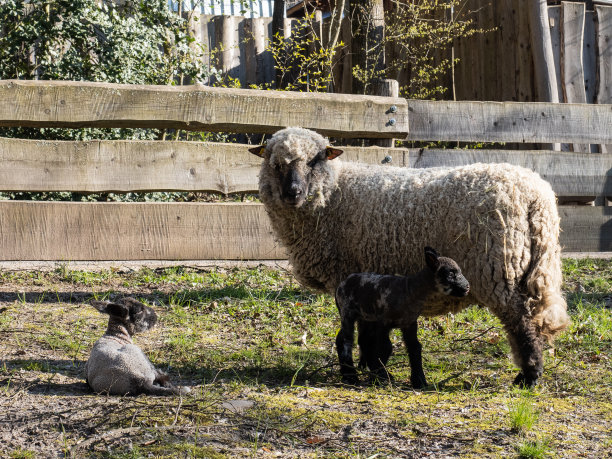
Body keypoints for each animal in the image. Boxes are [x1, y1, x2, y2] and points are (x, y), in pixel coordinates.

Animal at [334, 248, 468, 388]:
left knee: (357, 339)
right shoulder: (383, 322)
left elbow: (415, 347)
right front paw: (380, 376)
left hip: (365, 317)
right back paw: (350, 376)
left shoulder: (409, 323)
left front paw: (419, 380)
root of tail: (342, 283)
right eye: (451, 274)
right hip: (347, 311)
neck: (410, 290)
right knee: (346, 340)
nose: (467, 287)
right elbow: (385, 346)